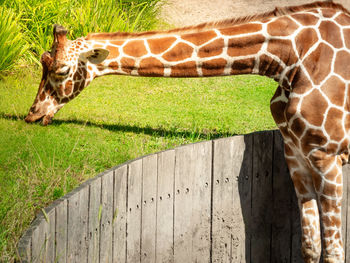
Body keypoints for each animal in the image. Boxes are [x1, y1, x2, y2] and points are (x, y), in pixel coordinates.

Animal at [26, 1, 350, 262]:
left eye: (61, 71)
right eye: (42, 61)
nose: (33, 114)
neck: (290, 57)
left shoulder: (325, 154)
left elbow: (334, 251)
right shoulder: (294, 151)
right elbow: (310, 246)